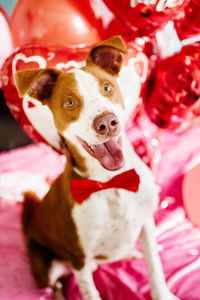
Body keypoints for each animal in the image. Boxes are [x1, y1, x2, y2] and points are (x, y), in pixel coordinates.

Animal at [14, 35, 179, 300]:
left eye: (107, 87)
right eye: (70, 102)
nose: (107, 122)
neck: (112, 182)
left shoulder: (146, 224)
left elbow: (155, 266)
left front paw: (162, 294)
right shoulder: (79, 257)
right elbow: (90, 292)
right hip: (47, 266)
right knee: (56, 286)